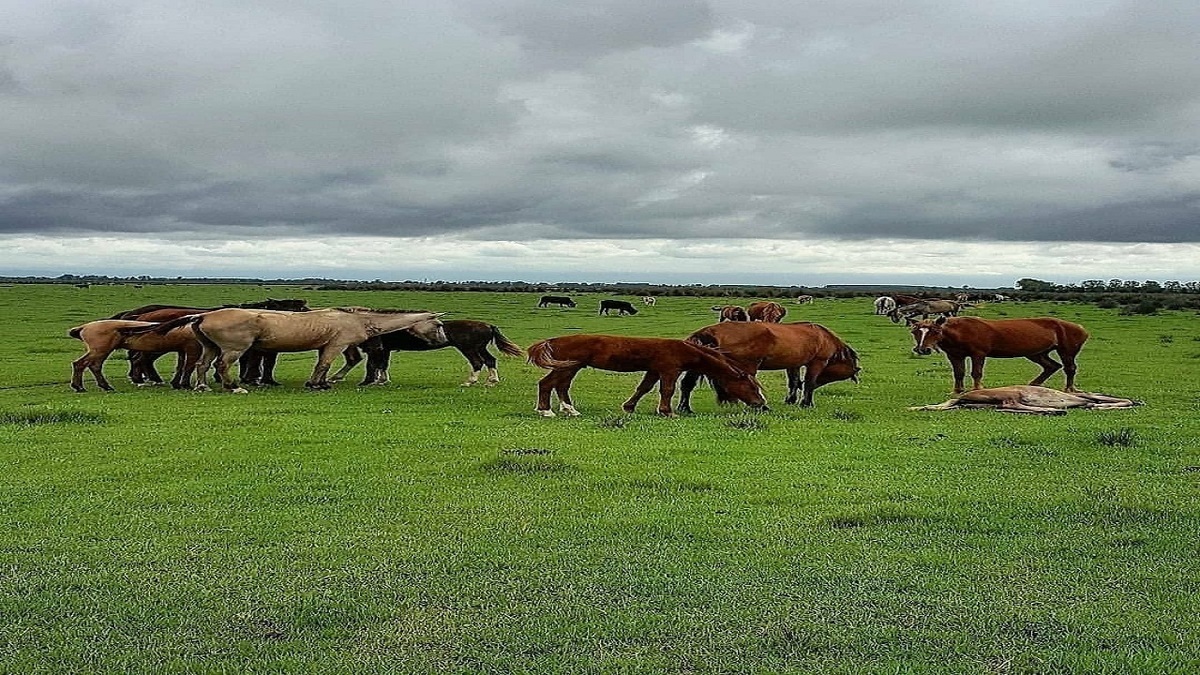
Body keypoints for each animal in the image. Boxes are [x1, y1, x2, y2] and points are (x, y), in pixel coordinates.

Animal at [136, 305, 446, 389]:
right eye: (439, 325)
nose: (443, 341)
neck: (357, 317)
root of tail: (203, 315)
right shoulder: (337, 344)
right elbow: (326, 364)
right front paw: (318, 384)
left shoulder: (330, 345)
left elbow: (327, 365)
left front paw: (323, 382)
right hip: (233, 350)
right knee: (222, 366)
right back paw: (234, 387)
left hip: (208, 347)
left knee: (202, 365)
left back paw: (202, 386)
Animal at [328, 319, 520, 386]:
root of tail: (488, 325)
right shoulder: (386, 350)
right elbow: (383, 365)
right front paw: (383, 380)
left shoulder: (378, 349)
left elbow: (374, 365)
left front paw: (373, 381)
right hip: (480, 347)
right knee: (490, 361)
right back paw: (492, 380)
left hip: (469, 348)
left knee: (477, 362)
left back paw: (469, 382)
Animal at [528, 331, 768, 415]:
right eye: (750, 386)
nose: (761, 404)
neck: (683, 350)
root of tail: (552, 340)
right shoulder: (669, 370)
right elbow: (667, 390)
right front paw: (667, 412)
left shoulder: (653, 370)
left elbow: (643, 388)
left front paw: (629, 407)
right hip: (567, 367)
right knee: (547, 384)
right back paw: (546, 411)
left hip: (571, 368)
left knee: (561, 386)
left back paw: (571, 411)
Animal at [681, 319, 859, 410]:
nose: (858, 370)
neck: (822, 336)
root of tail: (708, 332)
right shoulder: (817, 363)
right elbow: (809, 382)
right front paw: (806, 403)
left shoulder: (793, 364)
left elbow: (794, 382)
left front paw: (791, 400)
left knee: (687, 384)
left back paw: (685, 408)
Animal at [907, 317, 1089, 391]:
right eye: (915, 332)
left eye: (935, 331)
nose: (922, 349)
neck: (960, 332)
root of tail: (1081, 328)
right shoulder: (954, 355)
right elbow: (958, 373)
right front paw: (957, 391)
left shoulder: (978, 354)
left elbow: (976, 372)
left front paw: (977, 388)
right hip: (1036, 353)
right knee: (1051, 366)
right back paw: (1034, 385)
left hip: (1066, 351)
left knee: (1069, 368)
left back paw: (1069, 388)